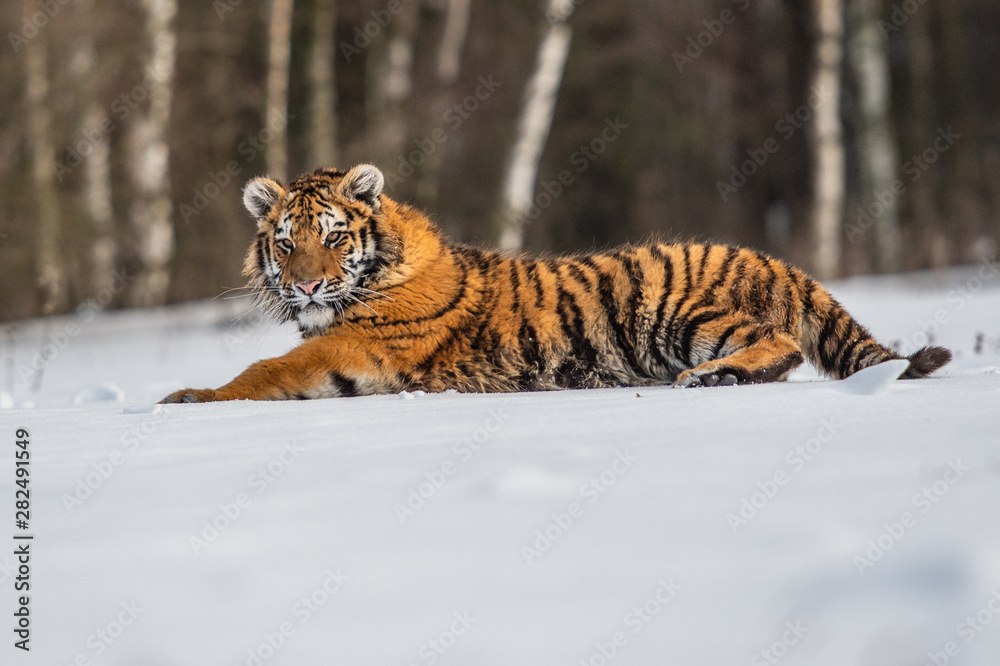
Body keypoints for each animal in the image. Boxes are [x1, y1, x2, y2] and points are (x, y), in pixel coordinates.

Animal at [160, 164, 951, 403]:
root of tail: (765, 257)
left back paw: (711, 378)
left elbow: (267, 369)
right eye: (285, 243)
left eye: (331, 238)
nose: (306, 288)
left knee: (779, 342)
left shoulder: (363, 344)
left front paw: (188, 397)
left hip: (675, 311)